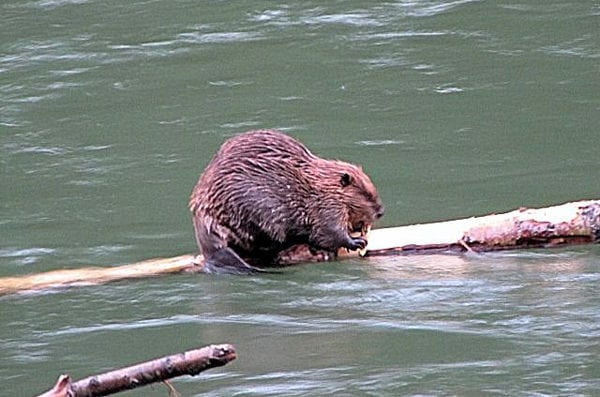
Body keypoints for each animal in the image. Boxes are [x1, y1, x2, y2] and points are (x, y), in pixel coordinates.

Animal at [189, 130, 384, 272]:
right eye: (367, 194)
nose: (381, 211)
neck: (321, 184)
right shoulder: (325, 206)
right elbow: (329, 231)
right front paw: (357, 242)